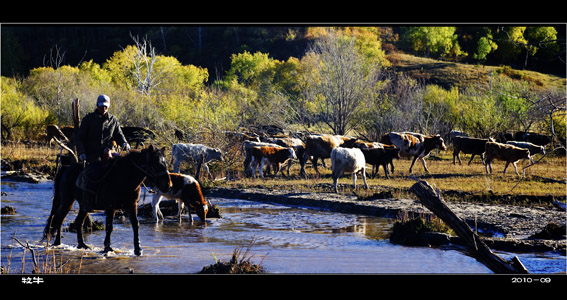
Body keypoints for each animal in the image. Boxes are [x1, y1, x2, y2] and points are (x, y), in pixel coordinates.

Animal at [43, 145, 171, 255]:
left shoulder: (132, 205)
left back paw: (82, 245)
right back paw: (58, 243)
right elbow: (109, 227)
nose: (168, 185)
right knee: (59, 218)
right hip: (67, 201)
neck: (124, 177)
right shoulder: (110, 207)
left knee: (78, 222)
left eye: (165, 163)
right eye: (156, 164)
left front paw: (138, 249)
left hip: (83, 206)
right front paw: (107, 247)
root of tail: (67, 168)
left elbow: (135, 224)